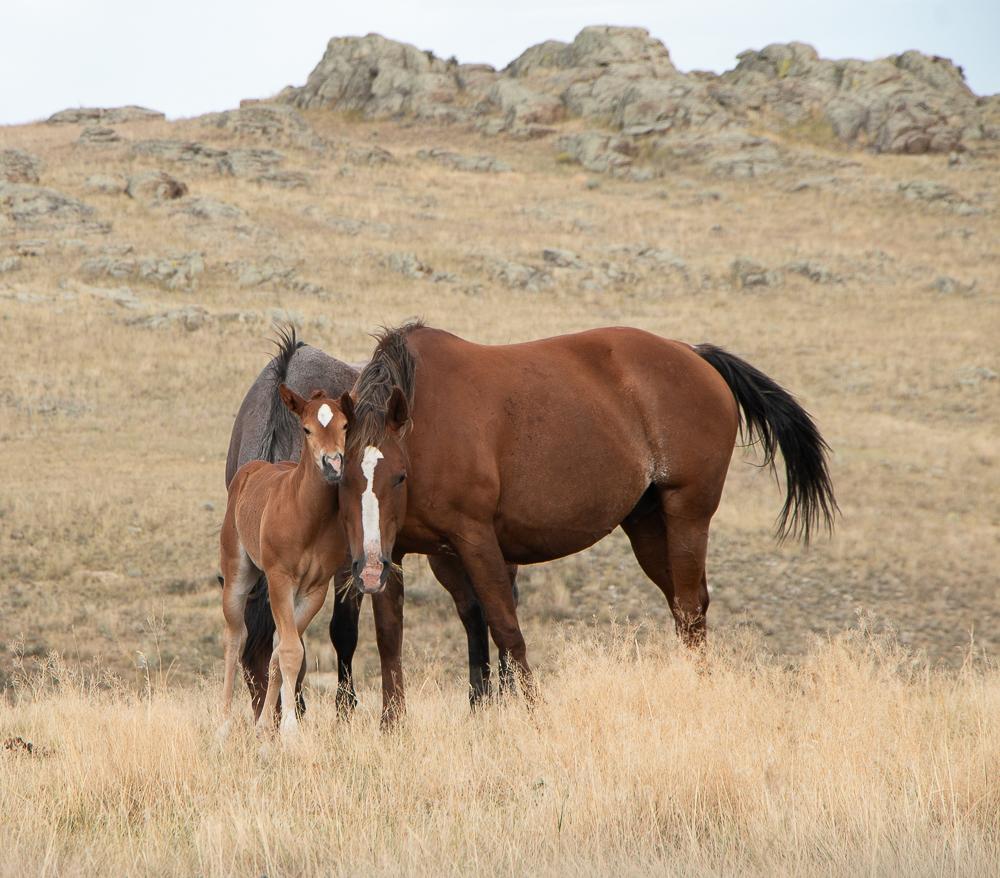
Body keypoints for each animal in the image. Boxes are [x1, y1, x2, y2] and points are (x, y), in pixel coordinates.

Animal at [219, 388, 350, 742]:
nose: (333, 464)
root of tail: (252, 469)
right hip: (237, 575)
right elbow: (290, 651)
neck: (307, 515)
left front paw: (267, 727)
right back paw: (222, 726)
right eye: (306, 429)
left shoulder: (315, 589)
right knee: (234, 638)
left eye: (345, 425)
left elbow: (284, 651)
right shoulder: (279, 579)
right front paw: (290, 731)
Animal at [225, 328, 517, 720]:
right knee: (473, 608)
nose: (267, 725)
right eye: (247, 677)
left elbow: (342, 631)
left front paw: (345, 709)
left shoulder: (344, 565)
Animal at [336, 322, 837, 719]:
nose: (366, 569)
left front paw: (534, 713)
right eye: (342, 474)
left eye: (399, 475)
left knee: (691, 608)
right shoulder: (396, 552)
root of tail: (692, 353)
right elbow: (390, 639)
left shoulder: (475, 539)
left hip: (688, 516)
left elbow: (505, 626)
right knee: (686, 610)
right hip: (647, 527)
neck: (427, 423)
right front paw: (392, 726)